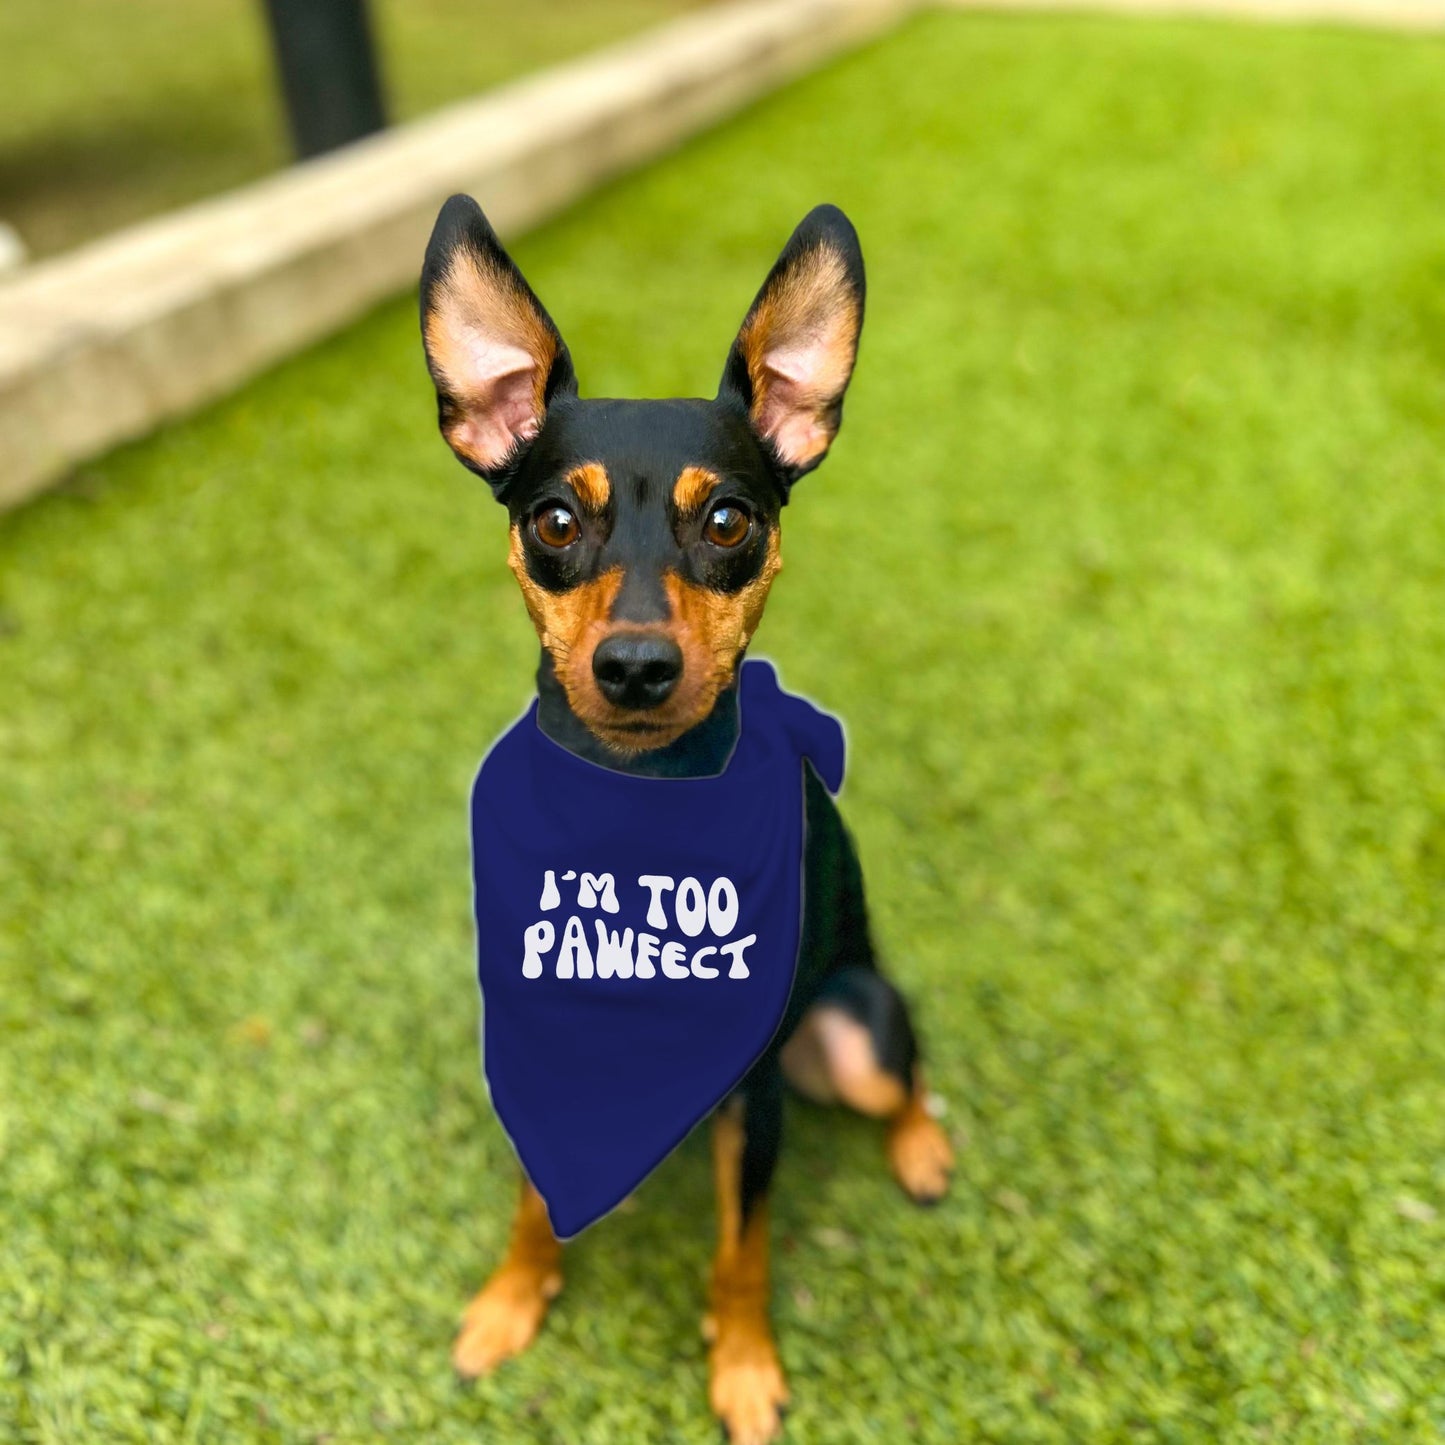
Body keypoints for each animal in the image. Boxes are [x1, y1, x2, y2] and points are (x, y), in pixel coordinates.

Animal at [421, 195, 959, 1445]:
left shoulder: (751, 1102)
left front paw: (744, 1364)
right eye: (551, 518)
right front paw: (511, 1299)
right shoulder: (534, 1037)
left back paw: (922, 1144)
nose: (632, 666)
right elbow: (529, 1201)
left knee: (904, 1070)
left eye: (726, 519)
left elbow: (740, 1249)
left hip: (855, 1028)